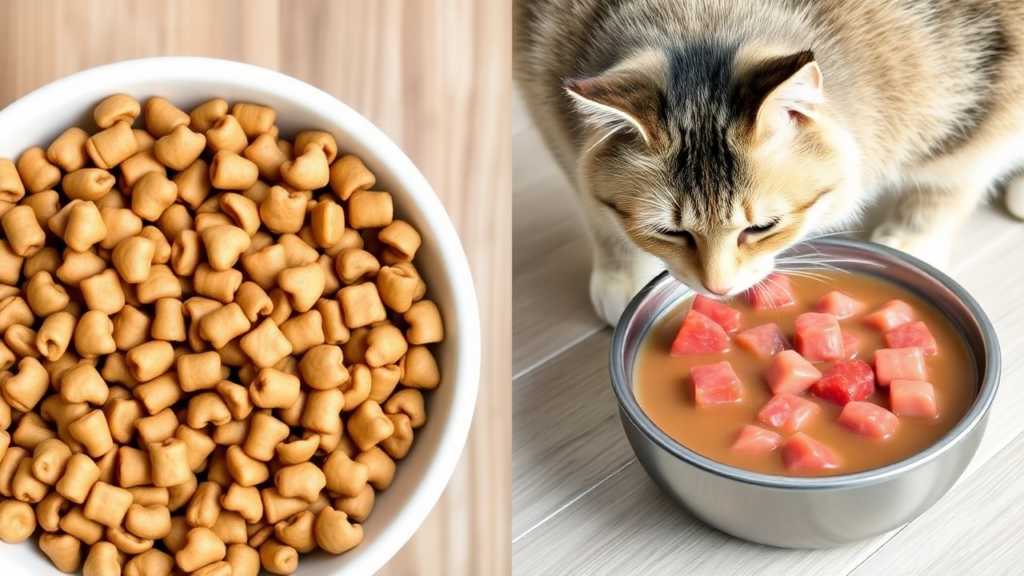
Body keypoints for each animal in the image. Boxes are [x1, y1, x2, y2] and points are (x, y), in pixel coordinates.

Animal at [516, 0, 1024, 325]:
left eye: (763, 228)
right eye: (668, 232)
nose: (718, 290)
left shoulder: (992, 73)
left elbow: (949, 179)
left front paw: (913, 241)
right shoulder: (540, 88)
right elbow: (593, 206)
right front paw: (621, 275)